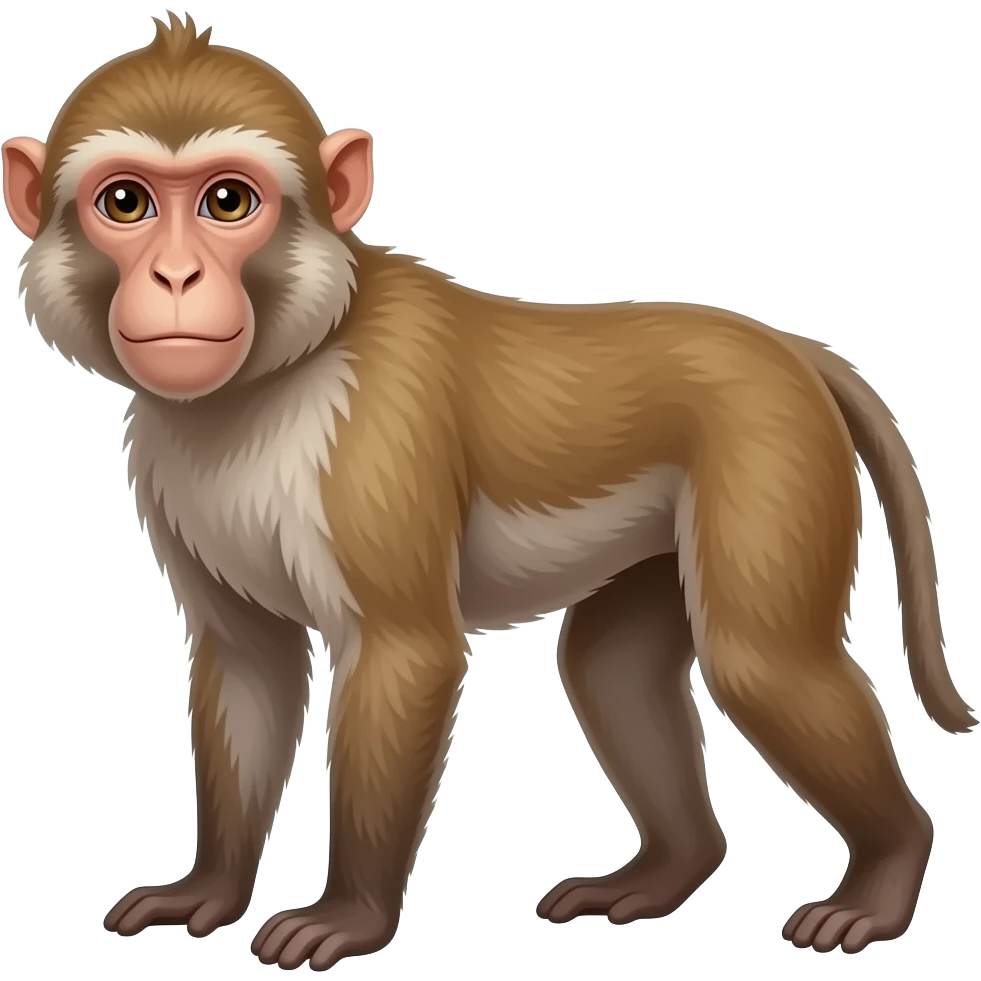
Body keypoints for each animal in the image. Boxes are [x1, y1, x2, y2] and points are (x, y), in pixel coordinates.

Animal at [2, 12, 974, 972]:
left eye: (227, 202)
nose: (176, 279)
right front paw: (208, 888)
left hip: (768, 451)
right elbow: (249, 658)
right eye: (126, 204)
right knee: (612, 666)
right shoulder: (167, 468)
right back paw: (666, 869)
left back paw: (885, 873)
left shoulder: (375, 429)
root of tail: (788, 347)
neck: (276, 369)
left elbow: (406, 652)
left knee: (758, 657)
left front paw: (348, 915)